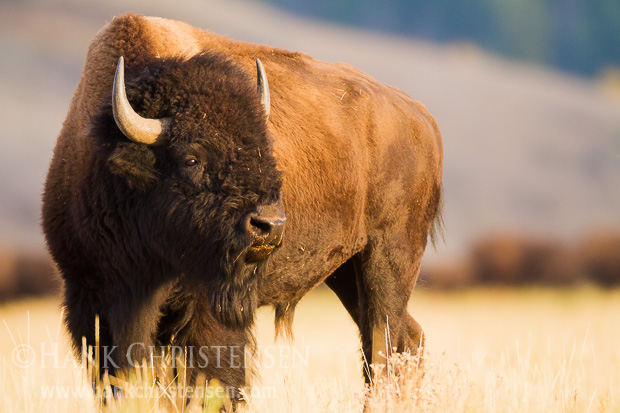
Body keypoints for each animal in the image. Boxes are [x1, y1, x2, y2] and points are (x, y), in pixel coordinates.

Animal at [41, 14, 444, 398]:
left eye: (266, 151)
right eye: (190, 159)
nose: (270, 226)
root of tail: (423, 118)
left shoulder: (209, 309)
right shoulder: (92, 303)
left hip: (388, 260)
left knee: (385, 344)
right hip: (346, 272)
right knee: (406, 340)